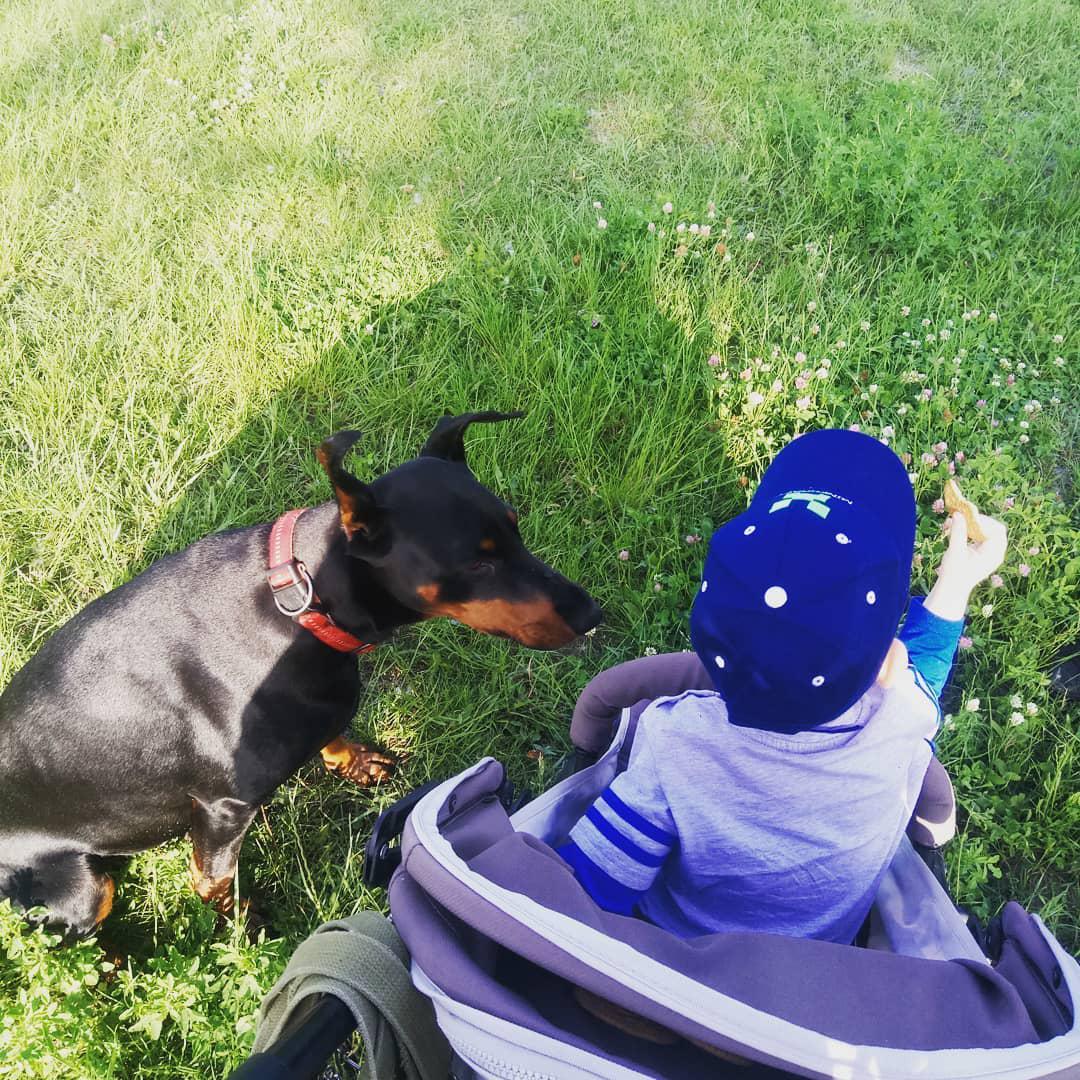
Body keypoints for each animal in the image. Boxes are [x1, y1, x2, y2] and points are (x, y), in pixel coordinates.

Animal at [0, 408, 600, 933]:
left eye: (515, 527)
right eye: (477, 563)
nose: (592, 614)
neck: (301, 607)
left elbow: (331, 732)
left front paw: (354, 761)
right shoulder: (222, 809)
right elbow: (212, 883)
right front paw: (243, 930)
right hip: (81, 889)